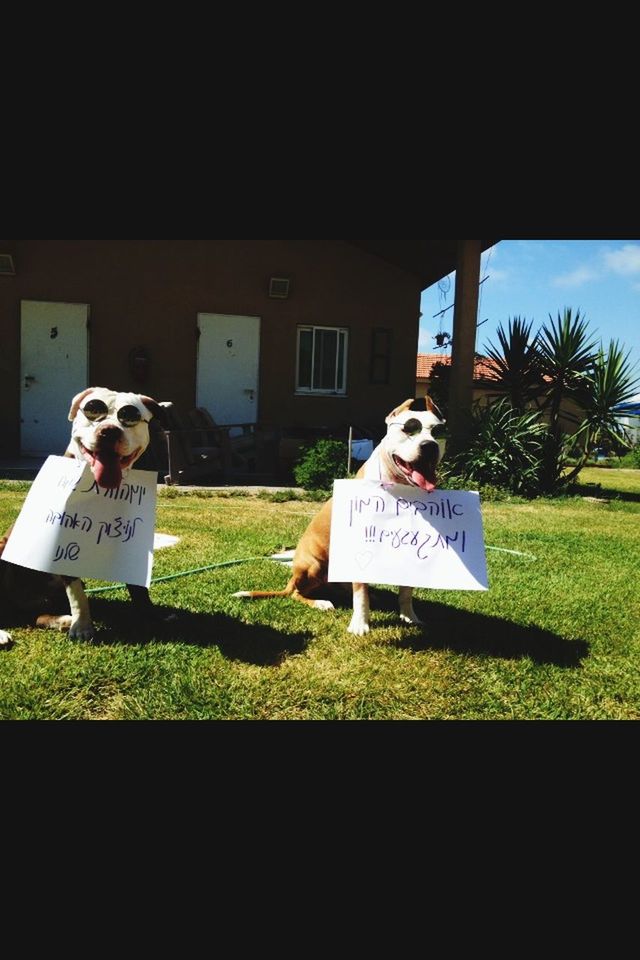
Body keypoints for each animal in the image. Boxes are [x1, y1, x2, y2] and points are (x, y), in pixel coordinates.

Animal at [1, 386, 161, 648]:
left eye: (129, 416)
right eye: (93, 410)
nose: (109, 430)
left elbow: (138, 586)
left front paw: (149, 615)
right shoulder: (65, 546)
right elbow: (77, 595)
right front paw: (83, 627)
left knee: (34, 615)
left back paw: (61, 620)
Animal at [234, 398, 444, 636]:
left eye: (437, 431)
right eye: (409, 428)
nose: (429, 445)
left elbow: (406, 591)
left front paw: (409, 617)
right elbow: (360, 595)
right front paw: (360, 625)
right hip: (313, 565)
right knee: (298, 593)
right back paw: (321, 602)